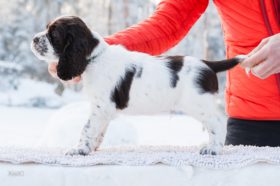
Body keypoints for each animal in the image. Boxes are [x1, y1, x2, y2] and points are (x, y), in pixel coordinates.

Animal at [31, 15, 243, 155]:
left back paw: (213, 148)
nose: (33, 39)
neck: (94, 58)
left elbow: (87, 128)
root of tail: (207, 64)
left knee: (218, 121)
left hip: (198, 104)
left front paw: (79, 149)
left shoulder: (101, 106)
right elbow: (99, 130)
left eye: (54, 34)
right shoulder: (104, 110)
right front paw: (92, 147)